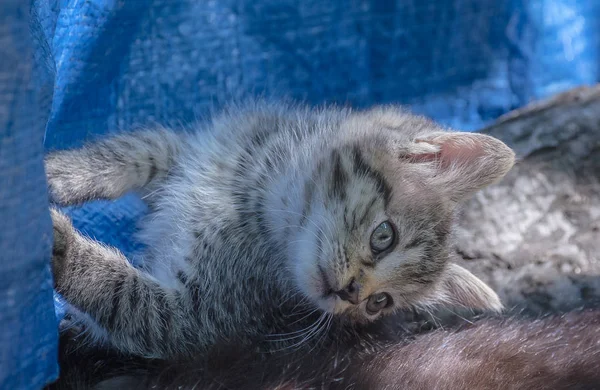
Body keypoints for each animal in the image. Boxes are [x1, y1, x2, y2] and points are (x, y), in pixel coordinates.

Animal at [48, 101, 516, 360]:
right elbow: (138, 151)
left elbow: (121, 293)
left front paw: (60, 245)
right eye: (384, 236)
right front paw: (63, 174)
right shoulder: (195, 153)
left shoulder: (194, 317)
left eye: (379, 303)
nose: (351, 293)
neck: (258, 201)